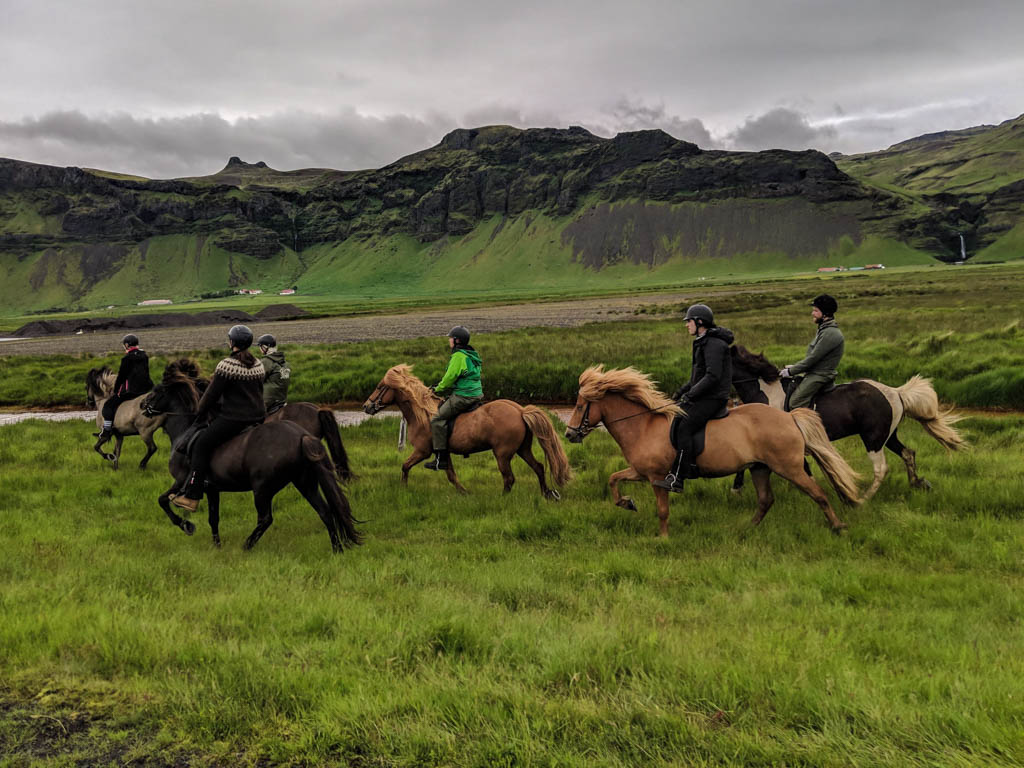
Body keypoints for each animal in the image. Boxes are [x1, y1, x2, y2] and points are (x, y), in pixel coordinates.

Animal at [143, 368, 361, 553]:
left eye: (156, 391)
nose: (141, 405)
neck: (185, 430)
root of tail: (301, 436)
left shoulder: (182, 481)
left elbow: (162, 500)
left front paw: (186, 524)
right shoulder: (212, 489)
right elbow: (213, 518)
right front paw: (216, 546)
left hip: (262, 488)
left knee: (265, 519)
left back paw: (246, 547)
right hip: (305, 482)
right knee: (325, 511)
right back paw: (337, 549)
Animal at [362, 364, 571, 498]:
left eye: (379, 387)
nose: (366, 406)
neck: (423, 414)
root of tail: (520, 410)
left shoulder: (422, 451)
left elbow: (405, 466)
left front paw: (403, 489)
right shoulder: (443, 454)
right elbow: (451, 476)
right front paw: (464, 493)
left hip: (502, 454)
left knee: (509, 478)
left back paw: (503, 499)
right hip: (523, 449)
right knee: (538, 467)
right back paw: (546, 494)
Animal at [564, 365, 863, 537]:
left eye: (579, 406)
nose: (569, 434)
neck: (643, 426)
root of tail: (789, 417)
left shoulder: (658, 478)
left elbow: (662, 510)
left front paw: (663, 538)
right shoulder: (640, 472)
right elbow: (613, 479)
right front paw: (627, 503)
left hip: (788, 467)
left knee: (818, 493)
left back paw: (838, 527)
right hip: (760, 468)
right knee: (765, 500)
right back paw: (745, 530)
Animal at [729, 345, 966, 500]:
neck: (767, 392)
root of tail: (897, 393)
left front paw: (736, 489)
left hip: (873, 439)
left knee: (881, 468)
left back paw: (863, 499)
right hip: (888, 436)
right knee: (908, 453)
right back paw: (917, 483)